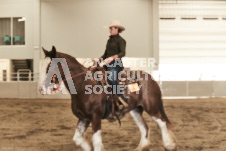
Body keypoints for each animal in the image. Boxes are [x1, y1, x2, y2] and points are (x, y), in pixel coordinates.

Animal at [38, 46, 177, 151]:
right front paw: (88, 146)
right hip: (136, 110)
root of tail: (151, 78)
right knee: (145, 127)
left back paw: (169, 145)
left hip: (151, 107)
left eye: (51, 66)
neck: (84, 85)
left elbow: (96, 141)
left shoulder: (95, 117)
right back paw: (142, 147)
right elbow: (77, 139)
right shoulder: (84, 118)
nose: (41, 89)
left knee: (162, 123)